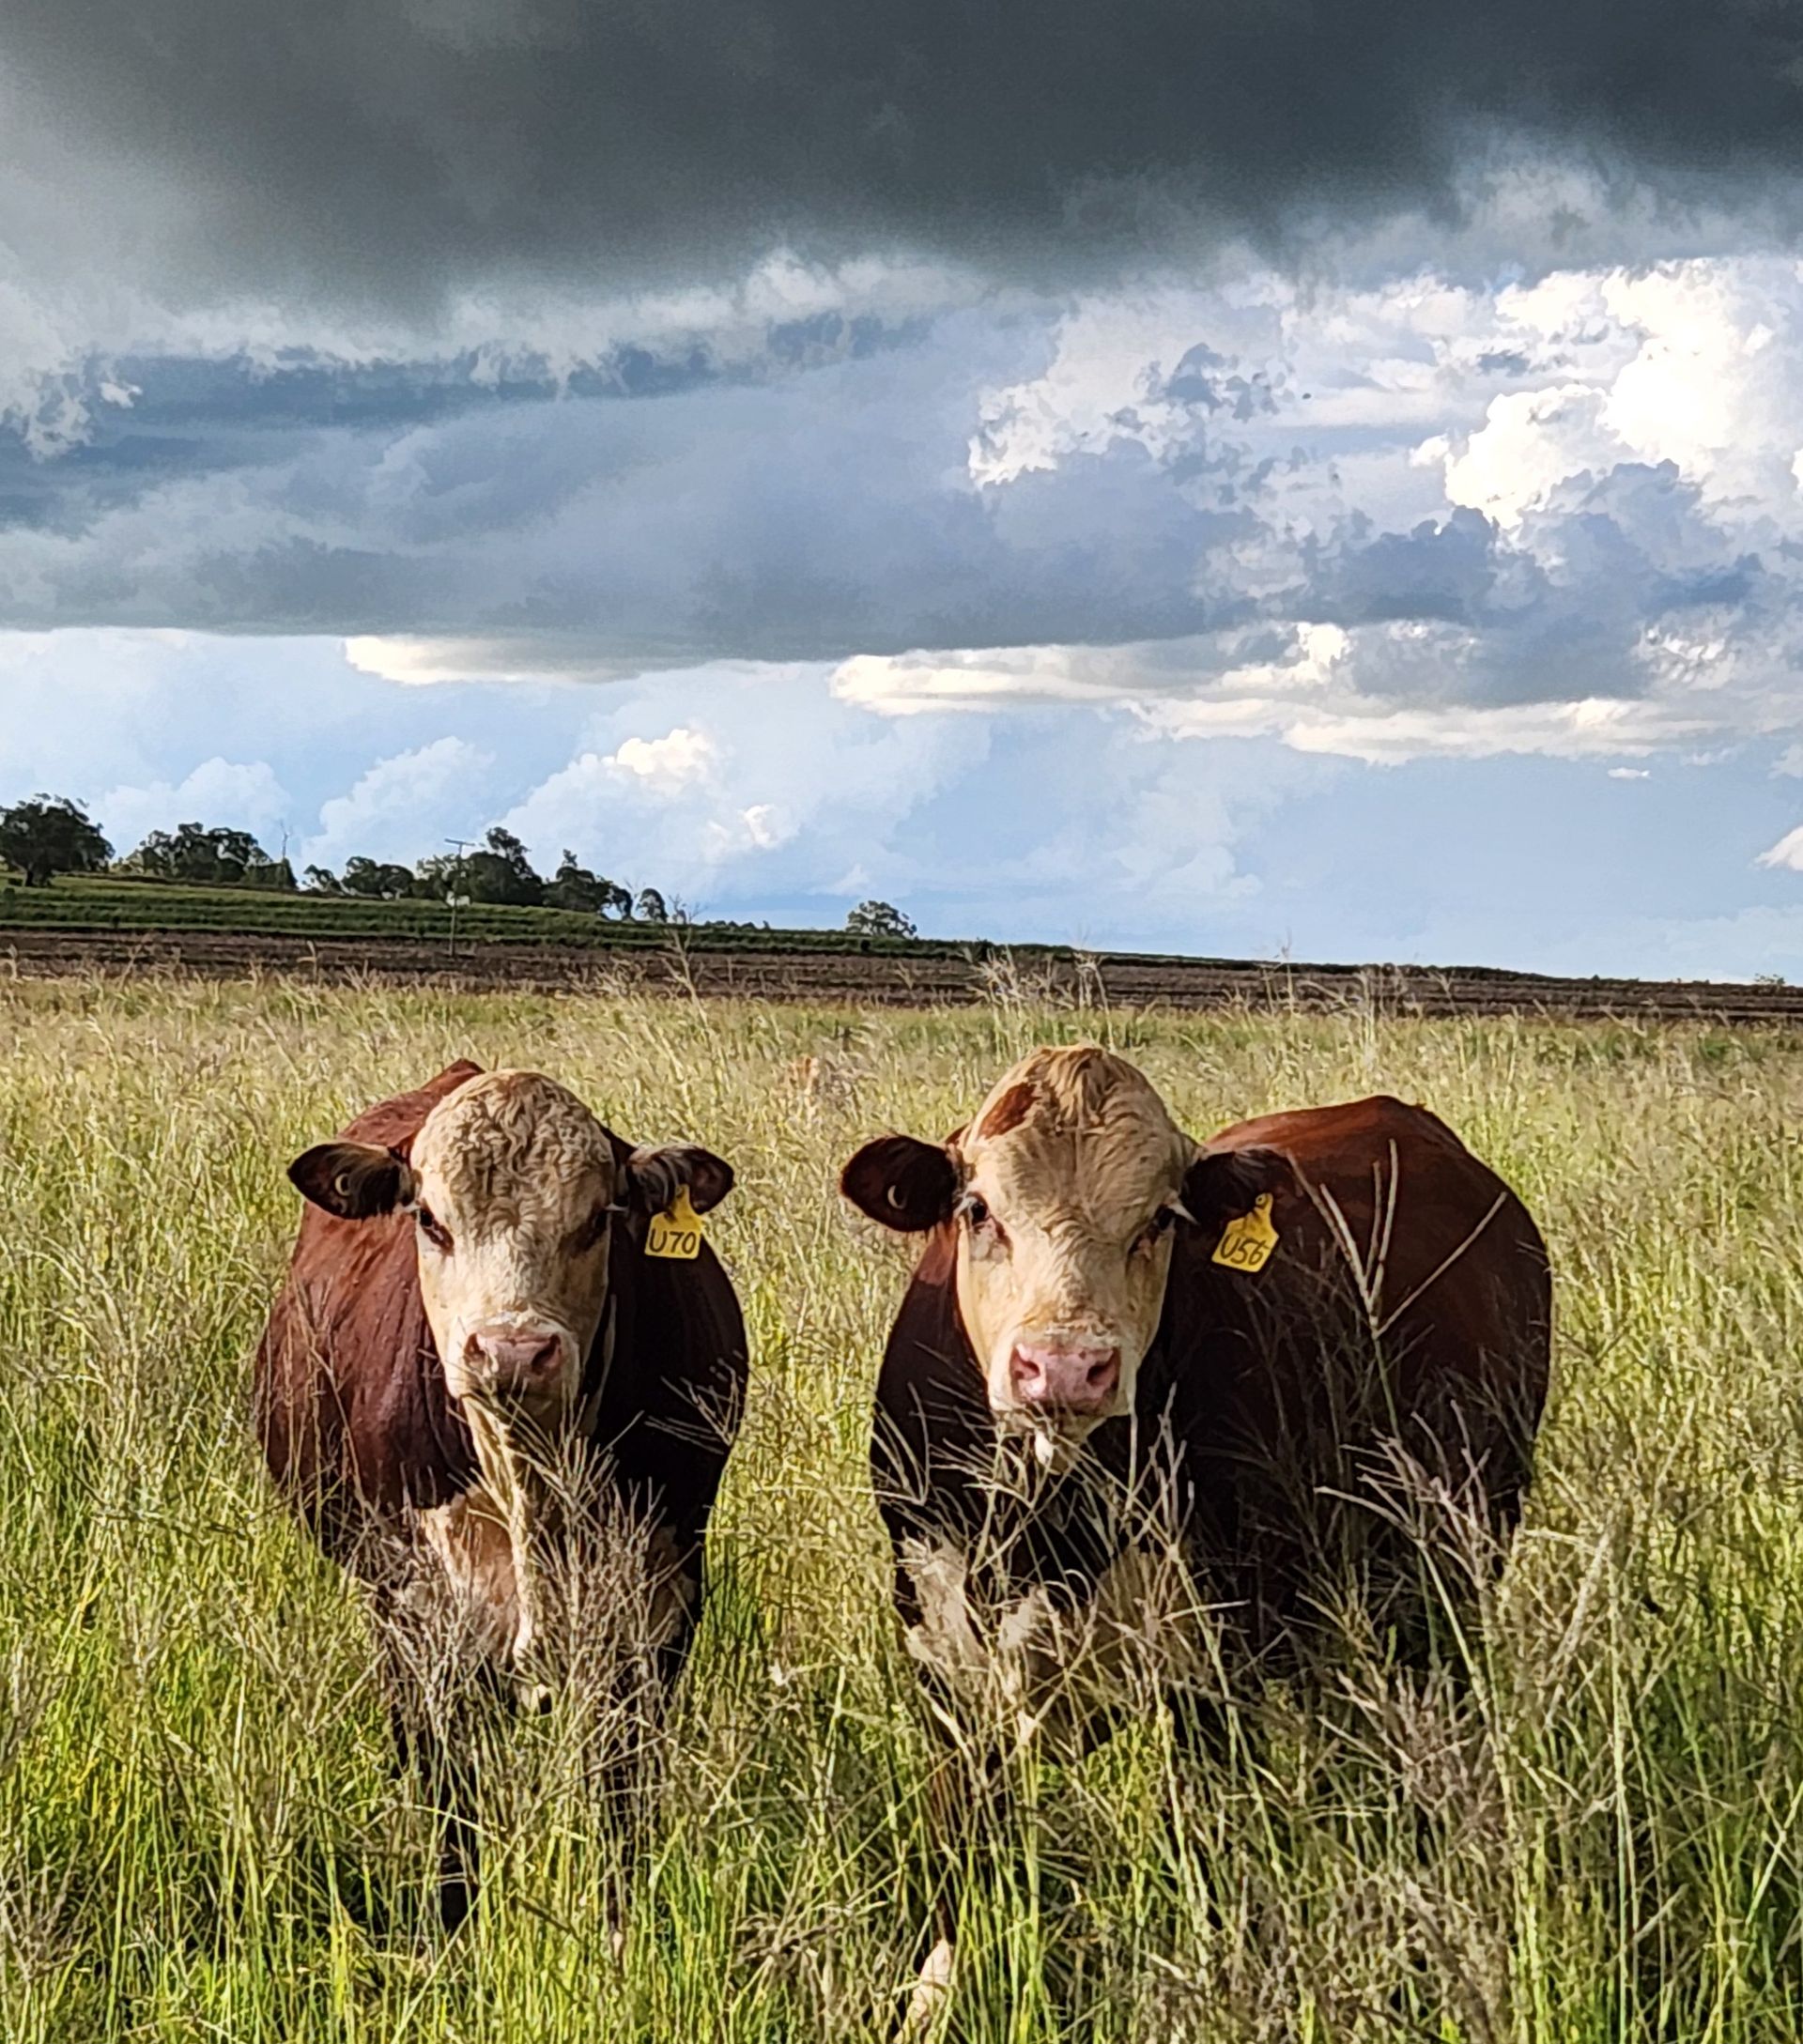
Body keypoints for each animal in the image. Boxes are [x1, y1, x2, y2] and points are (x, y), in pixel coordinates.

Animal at [256, 1060, 746, 1929]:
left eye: (598, 1217)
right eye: (429, 1217)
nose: (514, 1350)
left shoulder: (662, 1598)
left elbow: (621, 1790)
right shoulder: (419, 1610)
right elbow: (449, 1793)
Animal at [839, 1045, 1551, 2019]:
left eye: (1160, 1219)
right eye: (977, 1208)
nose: (1065, 1366)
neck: (1039, 1521)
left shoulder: (1210, 1668)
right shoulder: (942, 1650)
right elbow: (963, 1844)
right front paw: (933, 1999)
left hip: (1455, 1567)